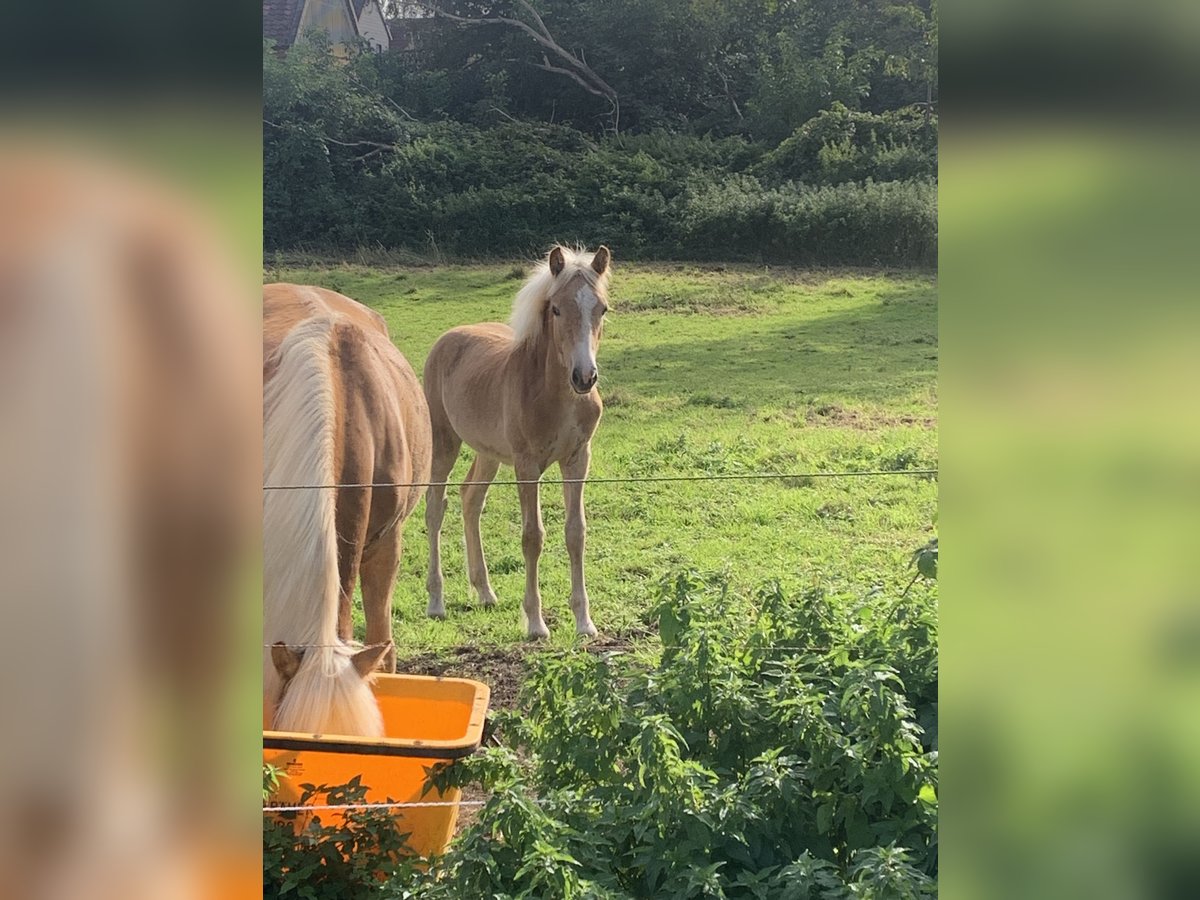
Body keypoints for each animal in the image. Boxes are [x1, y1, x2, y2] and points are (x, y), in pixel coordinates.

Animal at [424, 247, 614, 643]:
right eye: (556, 309)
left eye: (602, 308)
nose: (584, 377)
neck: (556, 395)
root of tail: (447, 338)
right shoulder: (528, 465)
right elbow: (532, 536)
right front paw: (536, 623)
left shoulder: (577, 459)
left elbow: (576, 533)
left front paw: (584, 622)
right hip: (444, 440)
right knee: (436, 506)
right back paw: (436, 601)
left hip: (488, 453)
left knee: (470, 499)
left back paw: (484, 592)